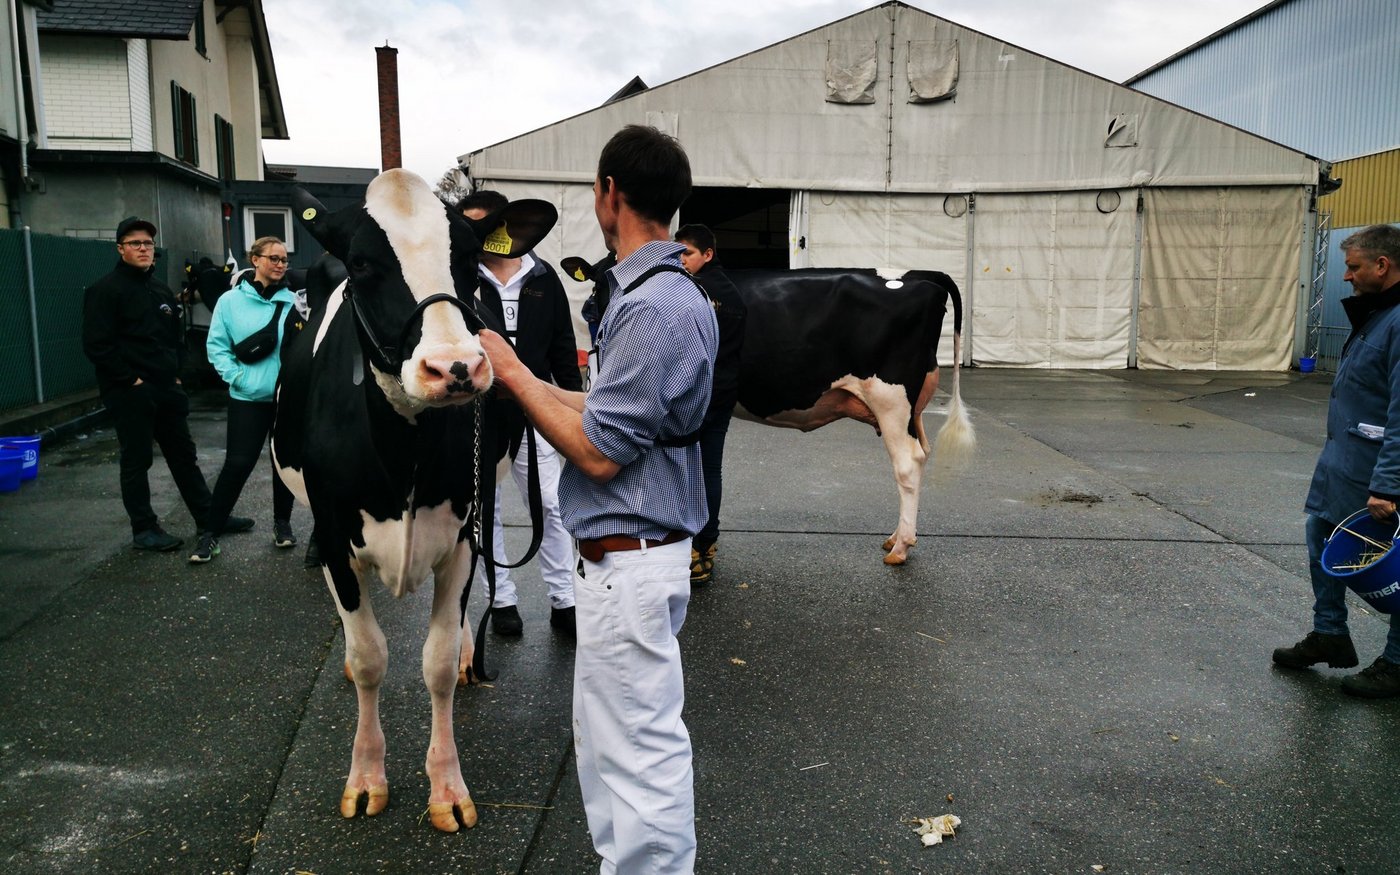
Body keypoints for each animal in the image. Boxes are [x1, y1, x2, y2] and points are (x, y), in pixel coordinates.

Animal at [271, 169, 557, 832]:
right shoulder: (334, 536)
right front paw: (365, 778)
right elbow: (368, 657)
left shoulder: (458, 534)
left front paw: (447, 787)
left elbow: (436, 660)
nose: (455, 367)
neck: (404, 450)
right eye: (361, 263)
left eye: (469, 257)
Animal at [562, 258, 974, 565]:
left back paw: (901, 547)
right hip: (910, 409)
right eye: (598, 284)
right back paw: (896, 537)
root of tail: (921, 275)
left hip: (890, 399)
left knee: (907, 463)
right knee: (922, 453)